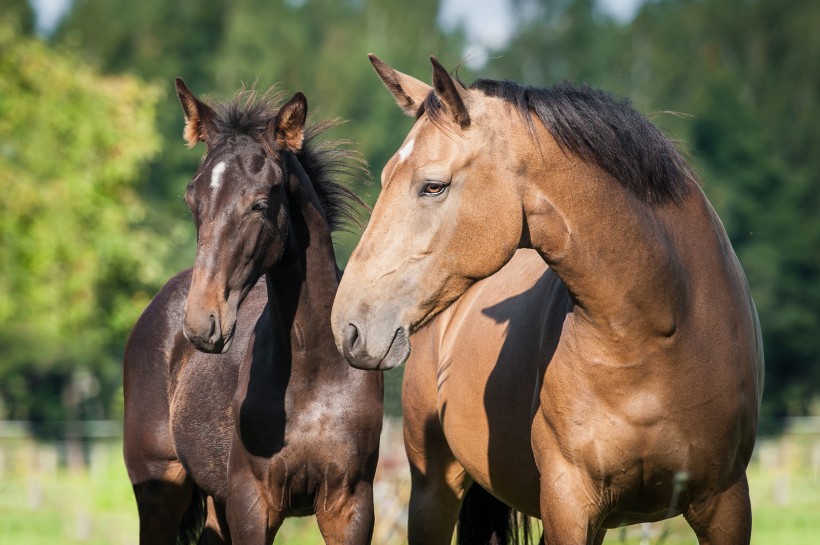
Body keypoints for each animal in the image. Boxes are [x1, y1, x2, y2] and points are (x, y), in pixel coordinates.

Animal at [122, 81, 384, 544]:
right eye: (192, 199)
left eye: (260, 204)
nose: (201, 323)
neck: (316, 370)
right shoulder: (252, 502)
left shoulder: (350, 505)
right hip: (159, 488)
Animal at [330, 56, 764, 544]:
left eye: (433, 186)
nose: (348, 326)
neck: (662, 323)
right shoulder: (569, 503)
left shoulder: (726, 504)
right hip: (432, 491)